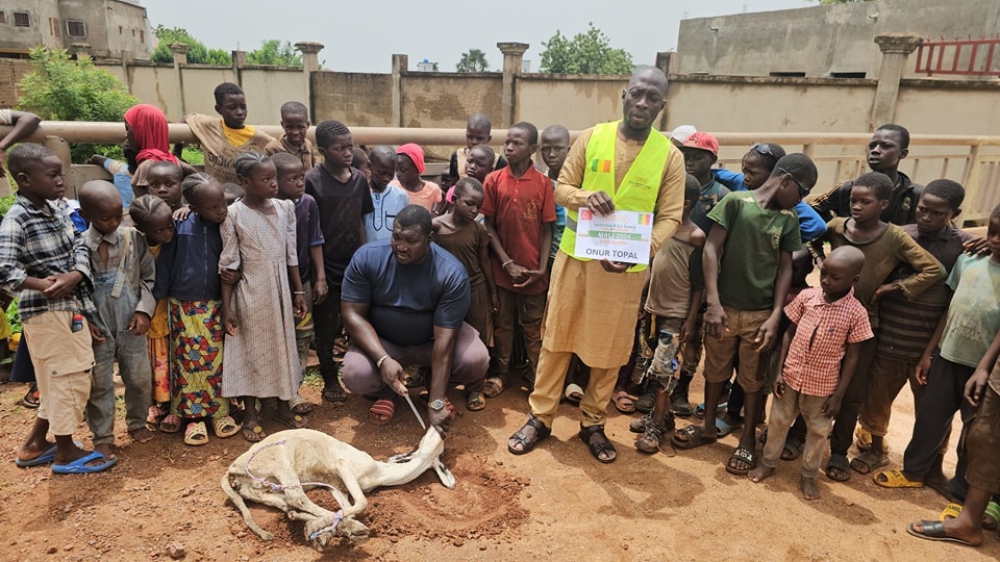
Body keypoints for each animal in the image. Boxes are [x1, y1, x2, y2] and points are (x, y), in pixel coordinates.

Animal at [221, 424, 456, 548]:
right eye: (441, 447)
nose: (442, 427)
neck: (380, 474)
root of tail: (231, 471)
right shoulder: (343, 466)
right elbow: (362, 502)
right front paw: (333, 528)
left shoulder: (338, 487)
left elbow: (350, 507)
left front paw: (340, 528)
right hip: (281, 460)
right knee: (297, 497)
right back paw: (322, 527)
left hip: (264, 490)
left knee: (288, 502)